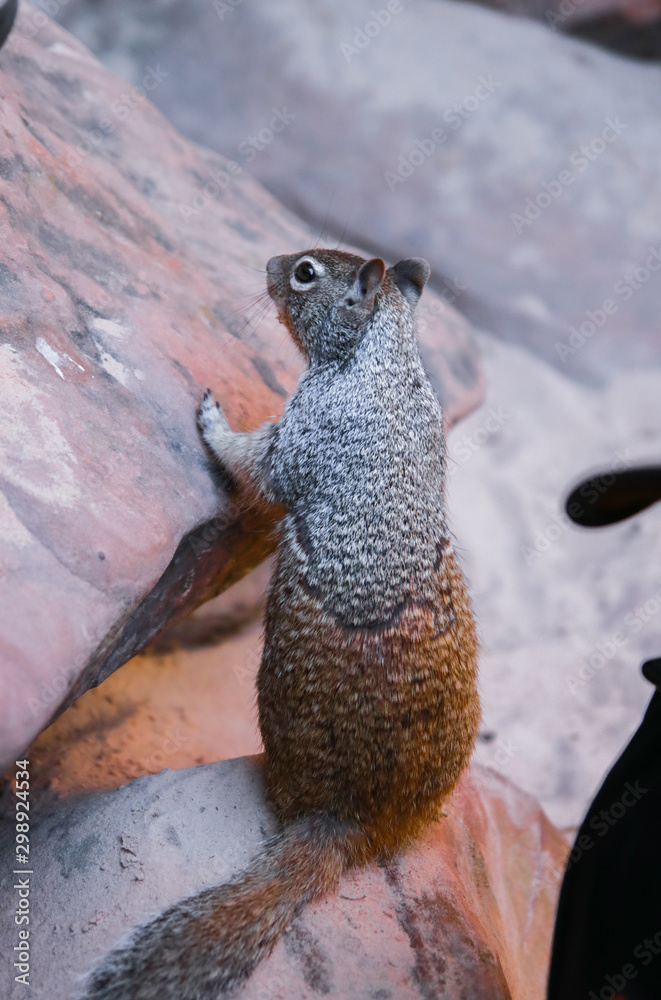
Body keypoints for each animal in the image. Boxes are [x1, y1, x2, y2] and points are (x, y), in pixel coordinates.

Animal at [80, 249, 480, 999]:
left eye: (303, 272)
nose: (267, 263)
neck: (383, 354)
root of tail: (354, 822)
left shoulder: (304, 427)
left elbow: (256, 460)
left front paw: (211, 415)